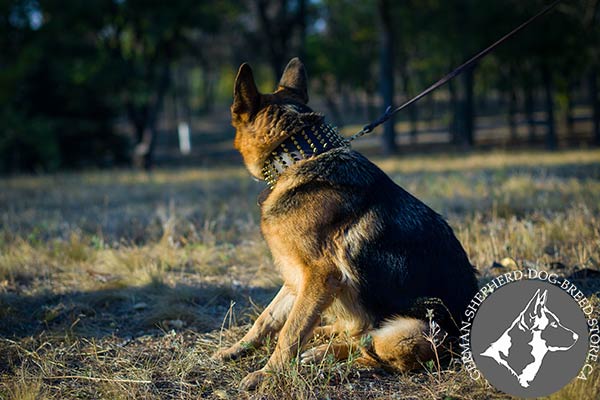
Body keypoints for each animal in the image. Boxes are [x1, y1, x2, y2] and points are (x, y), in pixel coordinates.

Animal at [213, 57, 480, 390]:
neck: (300, 156)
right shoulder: (296, 277)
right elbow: (269, 318)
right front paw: (237, 349)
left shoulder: (320, 275)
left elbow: (290, 331)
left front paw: (266, 374)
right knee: (352, 333)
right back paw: (321, 341)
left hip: (413, 331)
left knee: (370, 349)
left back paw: (324, 356)